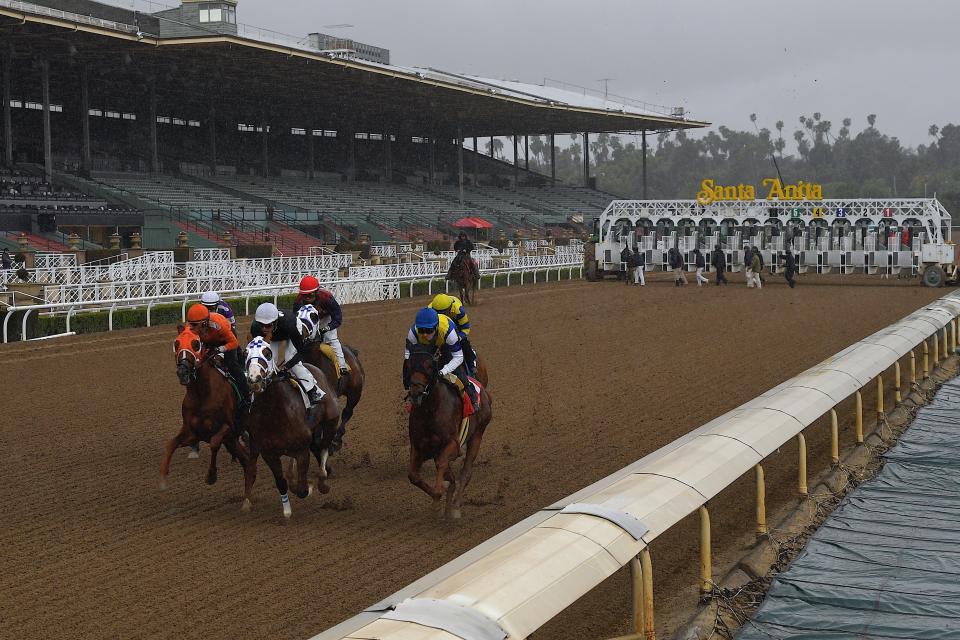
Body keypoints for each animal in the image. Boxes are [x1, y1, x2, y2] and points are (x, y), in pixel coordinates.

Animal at [159, 324, 248, 490]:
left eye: (196, 344)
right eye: (176, 344)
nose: (182, 371)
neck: (202, 394)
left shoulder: (228, 426)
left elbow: (214, 443)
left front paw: (211, 476)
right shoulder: (192, 432)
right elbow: (170, 444)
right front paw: (162, 477)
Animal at [240, 338, 342, 516]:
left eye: (267, 353)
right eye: (245, 353)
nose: (254, 379)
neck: (275, 412)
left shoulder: (302, 450)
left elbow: (302, 489)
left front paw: (308, 487)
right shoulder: (269, 453)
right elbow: (281, 481)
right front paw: (287, 511)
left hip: (331, 420)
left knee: (324, 448)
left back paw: (322, 480)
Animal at [406, 342, 496, 516]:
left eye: (429, 366)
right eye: (410, 364)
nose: (416, 393)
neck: (430, 410)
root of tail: (484, 391)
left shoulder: (453, 444)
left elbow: (442, 465)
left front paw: (438, 499)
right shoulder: (419, 447)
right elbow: (413, 476)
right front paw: (443, 493)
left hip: (477, 434)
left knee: (466, 473)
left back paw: (455, 506)